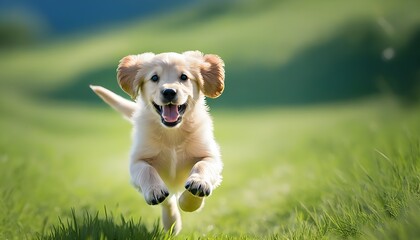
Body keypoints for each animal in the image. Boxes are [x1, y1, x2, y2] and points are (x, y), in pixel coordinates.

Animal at [90, 50, 225, 234]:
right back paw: (172, 223)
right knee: (167, 199)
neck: (172, 133)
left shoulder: (210, 155)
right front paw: (156, 192)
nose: (169, 92)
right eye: (154, 78)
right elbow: (147, 171)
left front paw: (195, 191)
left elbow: (202, 165)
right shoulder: (138, 161)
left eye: (184, 77)